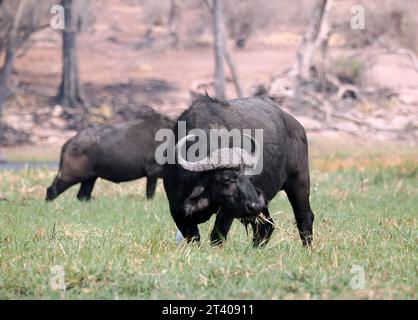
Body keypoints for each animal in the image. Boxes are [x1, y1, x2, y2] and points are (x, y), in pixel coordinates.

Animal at [47, 110, 175, 200]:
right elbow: (150, 194)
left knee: (82, 196)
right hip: (71, 176)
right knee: (52, 190)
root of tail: (69, 142)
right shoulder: (152, 171)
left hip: (90, 178)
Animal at [163, 95, 314, 248]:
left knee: (304, 216)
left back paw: (307, 248)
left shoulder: (228, 210)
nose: (255, 205)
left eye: (250, 177)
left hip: (298, 182)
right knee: (265, 226)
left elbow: (217, 236)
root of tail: (297, 126)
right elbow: (193, 238)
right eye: (226, 179)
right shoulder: (177, 210)